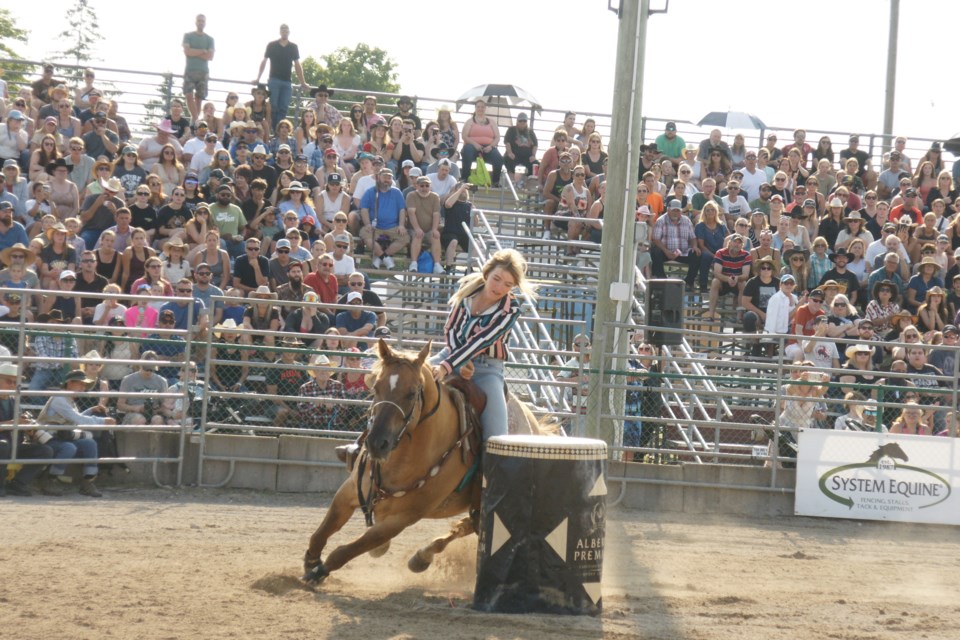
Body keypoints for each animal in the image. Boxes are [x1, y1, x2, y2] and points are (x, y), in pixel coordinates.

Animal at [300, 340, 556, 584]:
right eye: (375, 387)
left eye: (412, 393)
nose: (376, 443)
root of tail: (533, 427)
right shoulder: (351, 490)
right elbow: (323, 531)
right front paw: (311, 560)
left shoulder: (402, 519)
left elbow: (348, 550)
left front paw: (319, 571)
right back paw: (421, 555)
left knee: (471, 525)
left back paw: (423, 556)